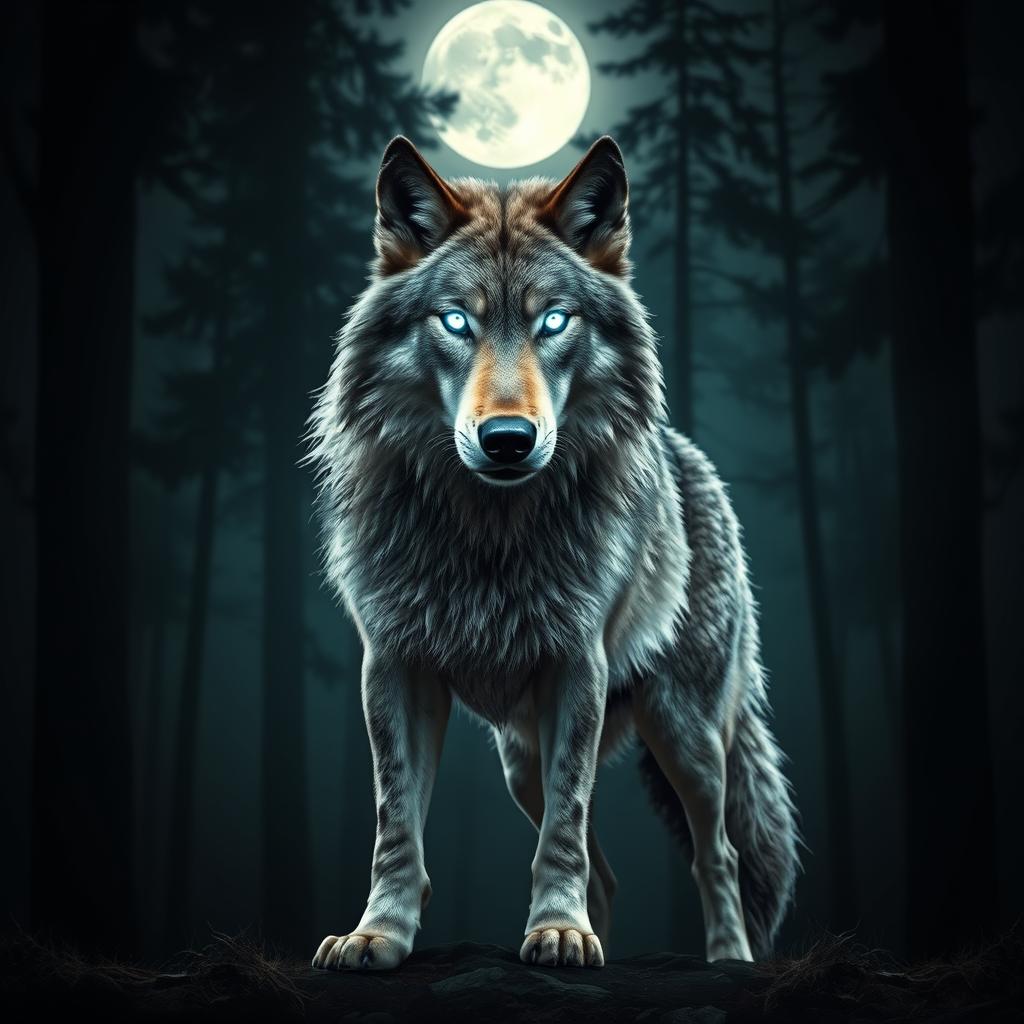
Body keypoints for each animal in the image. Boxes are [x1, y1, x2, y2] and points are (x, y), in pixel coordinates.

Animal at [307, 135, 798, 971]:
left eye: (555, 321)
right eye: (456, 321)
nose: (508, 440)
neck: (489, 534)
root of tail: (693, 461)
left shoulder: (577, 669)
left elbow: (565, 826)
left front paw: (559, 932)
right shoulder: (394, 668)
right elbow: (396, 823)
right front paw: (379, 935)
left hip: (687, 737)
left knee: (718, 852)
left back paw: (726, 958)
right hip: (519, 761)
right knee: (605, 871)